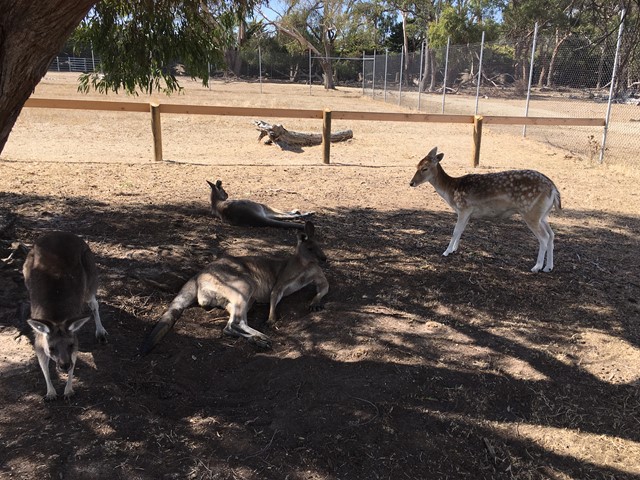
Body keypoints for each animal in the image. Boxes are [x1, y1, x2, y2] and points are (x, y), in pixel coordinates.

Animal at [22, 231, 106, 400]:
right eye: (52, 348)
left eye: (70, 345)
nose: (64, 366)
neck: (56, 318)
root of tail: (59, 233)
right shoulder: (40, 341)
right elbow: (43, 364)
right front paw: (51, 392)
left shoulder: (73, 339)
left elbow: (73, 361)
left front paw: (68, 390)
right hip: (27, 268)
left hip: (88, 266)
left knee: (93, 302)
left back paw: (101, 332)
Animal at [141, 220, 330, 352]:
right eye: (310, 248)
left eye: (320, 247)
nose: (324, 259)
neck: (305, 265)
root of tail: (198, 276)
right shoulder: (281, 281)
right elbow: (274, 295)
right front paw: (271, 319)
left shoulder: (317, 275)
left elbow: (325, 287)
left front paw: (315, 303)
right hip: (242, 284)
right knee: (233, 324)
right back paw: (262, 338)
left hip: (240, 298)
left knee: (232, 326)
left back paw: (259, 340)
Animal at [410, 146, 560, 274]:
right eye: (416, 165)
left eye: (424, 168)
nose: (411, 183)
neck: (452, 191)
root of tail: (553, 189)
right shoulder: (467, 212)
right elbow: (461, 230)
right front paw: (454, 249)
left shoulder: (464, 208)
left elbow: (455, 231)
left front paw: (446, 252)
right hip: (543, 215)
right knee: (552, 235)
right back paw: (548, 267)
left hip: (531, 212)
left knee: (544, 237)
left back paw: (537, 267)